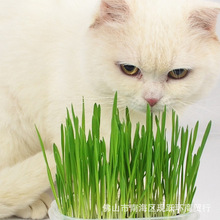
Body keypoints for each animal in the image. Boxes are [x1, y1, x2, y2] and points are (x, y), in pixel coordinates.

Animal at [0, 0, 220, 218]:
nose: (152, 99)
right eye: (129, 69)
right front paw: (103, 205)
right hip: (12, 123)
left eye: (178, 73)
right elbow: (95, 178)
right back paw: (35, 203)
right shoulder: (83, 129)